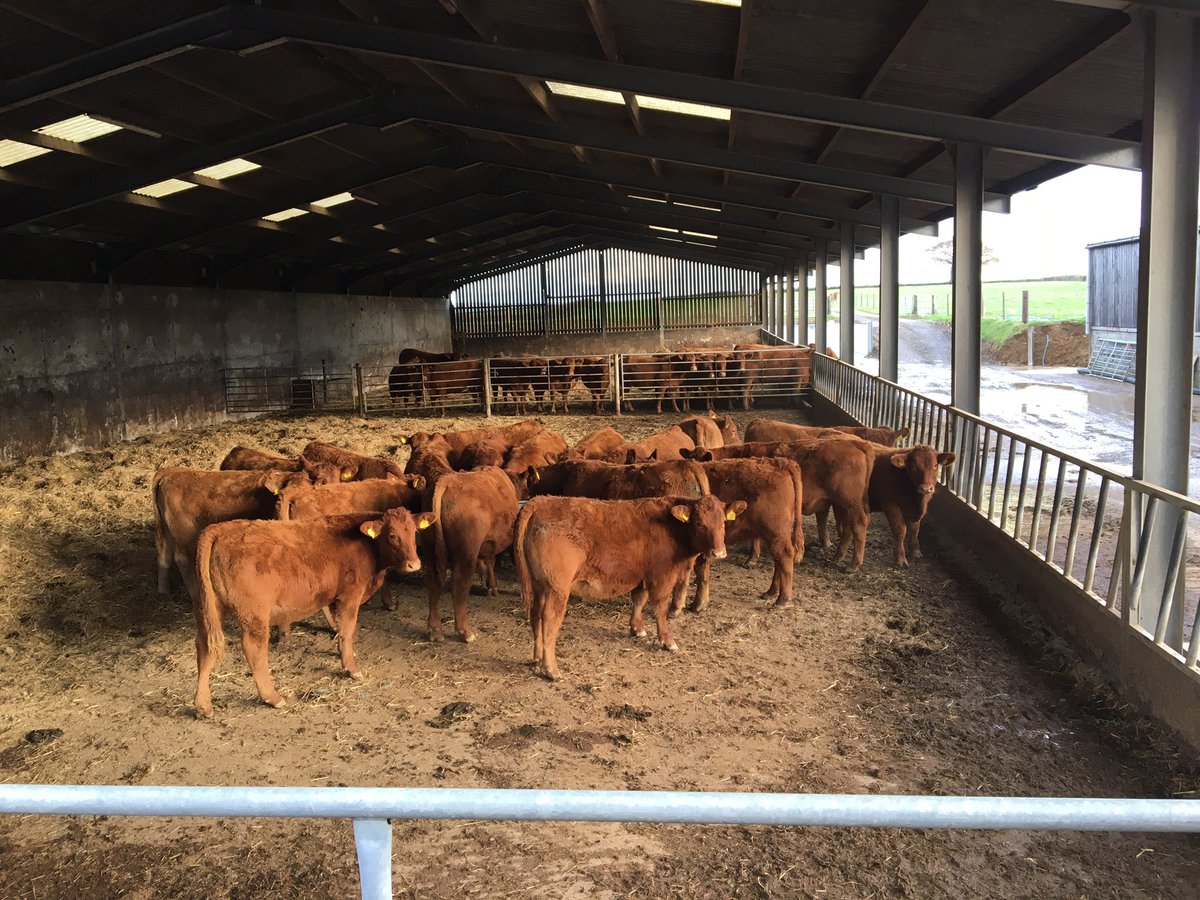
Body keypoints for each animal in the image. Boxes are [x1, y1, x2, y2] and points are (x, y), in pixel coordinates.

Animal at [154, 467, 308, 601]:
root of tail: (169, 474)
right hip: (185, 533)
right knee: (182, 559)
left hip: (168, 531)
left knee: (164, 555)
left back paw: (164, 590)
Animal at [192, 507, 430, 717]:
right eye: (392, 535)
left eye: (414, 532)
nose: (414, 564)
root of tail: (220, 529)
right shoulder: (349, 597)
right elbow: (348, 630)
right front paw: (351, 667)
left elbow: (341, 630)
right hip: (254, 615)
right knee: (254, 650)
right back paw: (272, 697)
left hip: (211, 610)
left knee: (204, 648)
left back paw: (203, 706)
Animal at [423, 467, 520, 643]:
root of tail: (445, 482)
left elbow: (490, 561)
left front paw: (491, 587)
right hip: (466, 553)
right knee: (460, 584)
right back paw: (465, 632)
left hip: (430, 550)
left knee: (433, 583)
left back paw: (435, 630)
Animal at [515, 494, 744, 680]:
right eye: (698, 522)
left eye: (724, 521)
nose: (719, 552)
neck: (671, 528)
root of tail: (543, 500)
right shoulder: (662, 576)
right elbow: (660, 608)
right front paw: (667, 640)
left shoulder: (641, 576)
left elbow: (639, 600)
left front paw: (637, 628)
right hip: (557, 588)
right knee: (549, 620)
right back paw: (551, 669)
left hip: (539, 585)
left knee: (535, 615)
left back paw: (537, 658)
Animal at [687, 458, 804, 611]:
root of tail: (781, 463)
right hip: (776, 535)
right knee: (778, 561)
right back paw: (771, 592)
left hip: (776, 533)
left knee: (785, 557)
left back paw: (782, 600)